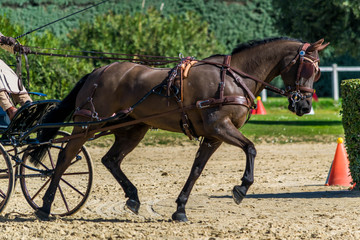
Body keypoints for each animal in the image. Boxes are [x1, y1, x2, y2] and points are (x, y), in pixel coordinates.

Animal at [31, 37, 330, 221]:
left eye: (318, 73)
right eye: (308, 68)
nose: (304, 105)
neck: (233, 78)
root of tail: (99, 71)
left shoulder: (212, 137)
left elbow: (196, 170)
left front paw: (180, 209)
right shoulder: (220, 126)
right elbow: (251, 148)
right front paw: (242, 187)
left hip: (133, 128)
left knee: (111, 159)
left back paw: (133, 198)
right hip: (88, 124)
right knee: (64, 157)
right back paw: (45, 205)